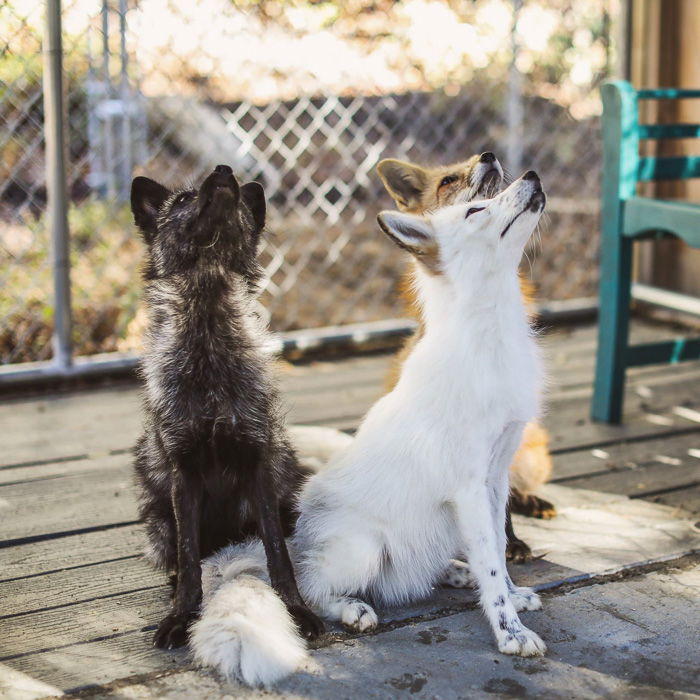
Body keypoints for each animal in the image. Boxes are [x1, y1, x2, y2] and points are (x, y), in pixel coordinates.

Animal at [132, 165, 326, 652]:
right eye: (182, 200)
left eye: (236, 199)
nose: (224, 172)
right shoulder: (183, 472)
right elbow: (189, 561)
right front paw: (182, 615)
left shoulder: (258, 466)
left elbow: (278, 555)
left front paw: (295, 609)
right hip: (158, 521)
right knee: (182, 559)